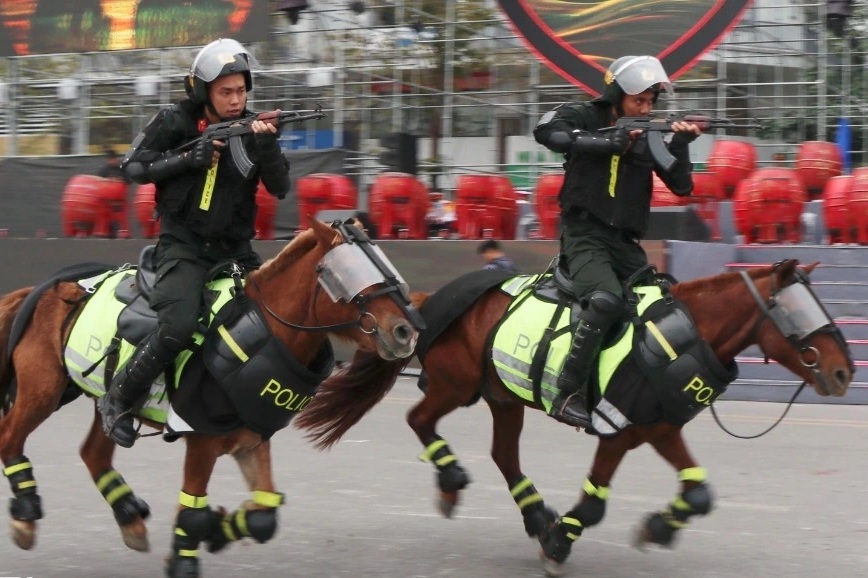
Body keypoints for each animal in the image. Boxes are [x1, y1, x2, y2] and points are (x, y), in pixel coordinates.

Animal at [0, 217, 422, 576]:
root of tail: (41, 289)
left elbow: (264, 517)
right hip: (43, 391)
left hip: (101, 403)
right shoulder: (201, 439)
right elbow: (195, 512)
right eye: (349, 274)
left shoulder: (251, 439)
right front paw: (188, 557)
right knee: (10, 438)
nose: (405, 331)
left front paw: (219, 531)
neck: (264, 331)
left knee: (93, 452)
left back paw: (129, 517)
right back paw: (25, 515)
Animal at [294, 258, 852, 572]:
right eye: (796, 311)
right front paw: (558, 541)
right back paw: (452, 483)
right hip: (456, 384)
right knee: (419, 421)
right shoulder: (619, 428)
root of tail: (432, 300)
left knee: (503, 454)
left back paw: (534, 512)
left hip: (503, 397)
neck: (681, 335)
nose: (844, 372)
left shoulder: (654, 429)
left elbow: (698, 491)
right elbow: (597, 504)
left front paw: (657, 527)